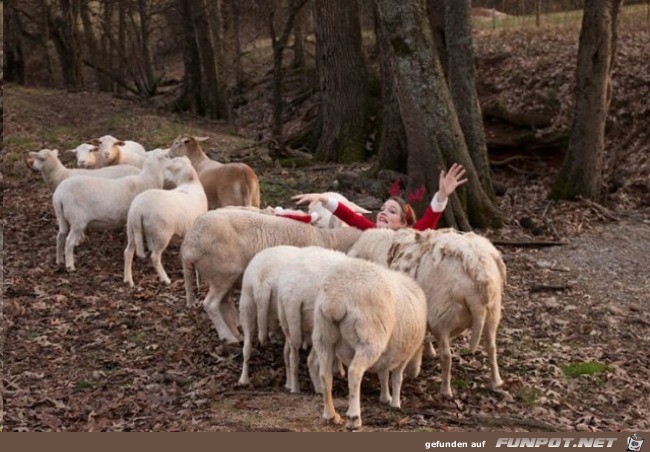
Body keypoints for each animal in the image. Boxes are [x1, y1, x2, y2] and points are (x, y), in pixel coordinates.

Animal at [124, 156, 208, 286]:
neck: (190, 183)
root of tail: (138, 208)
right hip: (162, 233)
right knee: (154, 257)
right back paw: (165, 279)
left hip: (132, 228)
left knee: (128, 252)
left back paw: (128, 279)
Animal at [180, 208, 362, 342]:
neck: (328, 241)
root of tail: (190, 245)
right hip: (224, 272)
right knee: (210, 304)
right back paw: (228, 337)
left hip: (222, 275)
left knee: (223, 302)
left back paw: (237, 332)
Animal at [308, 256, 426, 430]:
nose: (415, 373)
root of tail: (336, 299)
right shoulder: (403, 355)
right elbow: (396, 378)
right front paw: (396, 403)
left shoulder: (387, 353)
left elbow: (383, 374)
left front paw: (385, 397)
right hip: (370, 339)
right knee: (354, 372)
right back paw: (354, 418)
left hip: (323, 335)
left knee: (325, 374)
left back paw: (330, 415)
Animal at [346, 228, 504, 398]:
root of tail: (476, 268)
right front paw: (428, 353)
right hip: (493, 311)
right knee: (491, 347)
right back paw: (496, 381)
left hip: (443, 315)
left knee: (447, 356)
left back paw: (445, 390)